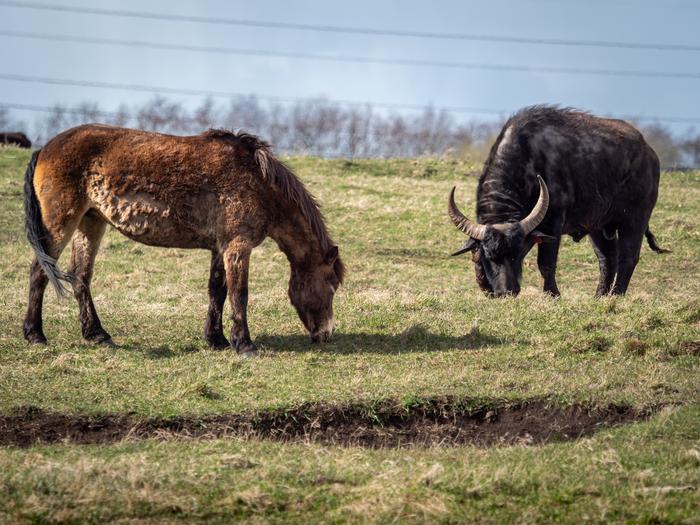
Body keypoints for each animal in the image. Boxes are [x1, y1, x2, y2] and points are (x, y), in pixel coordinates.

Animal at [23, 125, 345, 357]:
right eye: (331, 287)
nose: (327, 334)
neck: (259, 184)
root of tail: (45, 148)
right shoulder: (237, 247)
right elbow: (239, 294)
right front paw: (244, 345)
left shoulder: (220, 247)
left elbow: (217, 291)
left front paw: (217, 340)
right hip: (61, 223)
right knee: (39, 272)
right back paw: (35, 334)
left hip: (91, 222)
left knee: (80, 276)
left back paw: (96, 334)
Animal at [449, 106, 668, 298]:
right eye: (490, 255)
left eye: (516, 254)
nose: (506, 292)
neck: (529, 160)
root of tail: (650, 154)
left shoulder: (553, 224)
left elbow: (546, 263)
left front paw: (552, 294)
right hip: (598, 226)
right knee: (607, 258)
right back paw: (599, 296)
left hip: (634, 220)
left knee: (628, 257)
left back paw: (617, 294)